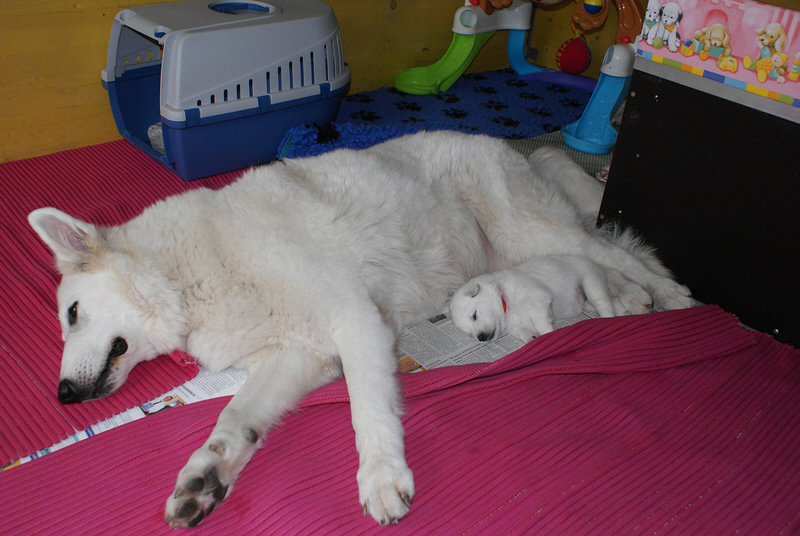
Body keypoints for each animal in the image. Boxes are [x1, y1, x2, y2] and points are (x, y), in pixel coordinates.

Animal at [450, 255, 634, 342]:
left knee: (604, 304)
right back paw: (622, 311)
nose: (480, 338)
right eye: (468, 332)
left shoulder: (537, 299)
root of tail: (596, 265)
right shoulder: (518, 325)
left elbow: (541, 324)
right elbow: (526, 333)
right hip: (588, 297)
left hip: (591, 282)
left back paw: (608, 320)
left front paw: (548, 338)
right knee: (611, 301)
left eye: (474, 315)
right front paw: (534, 341)